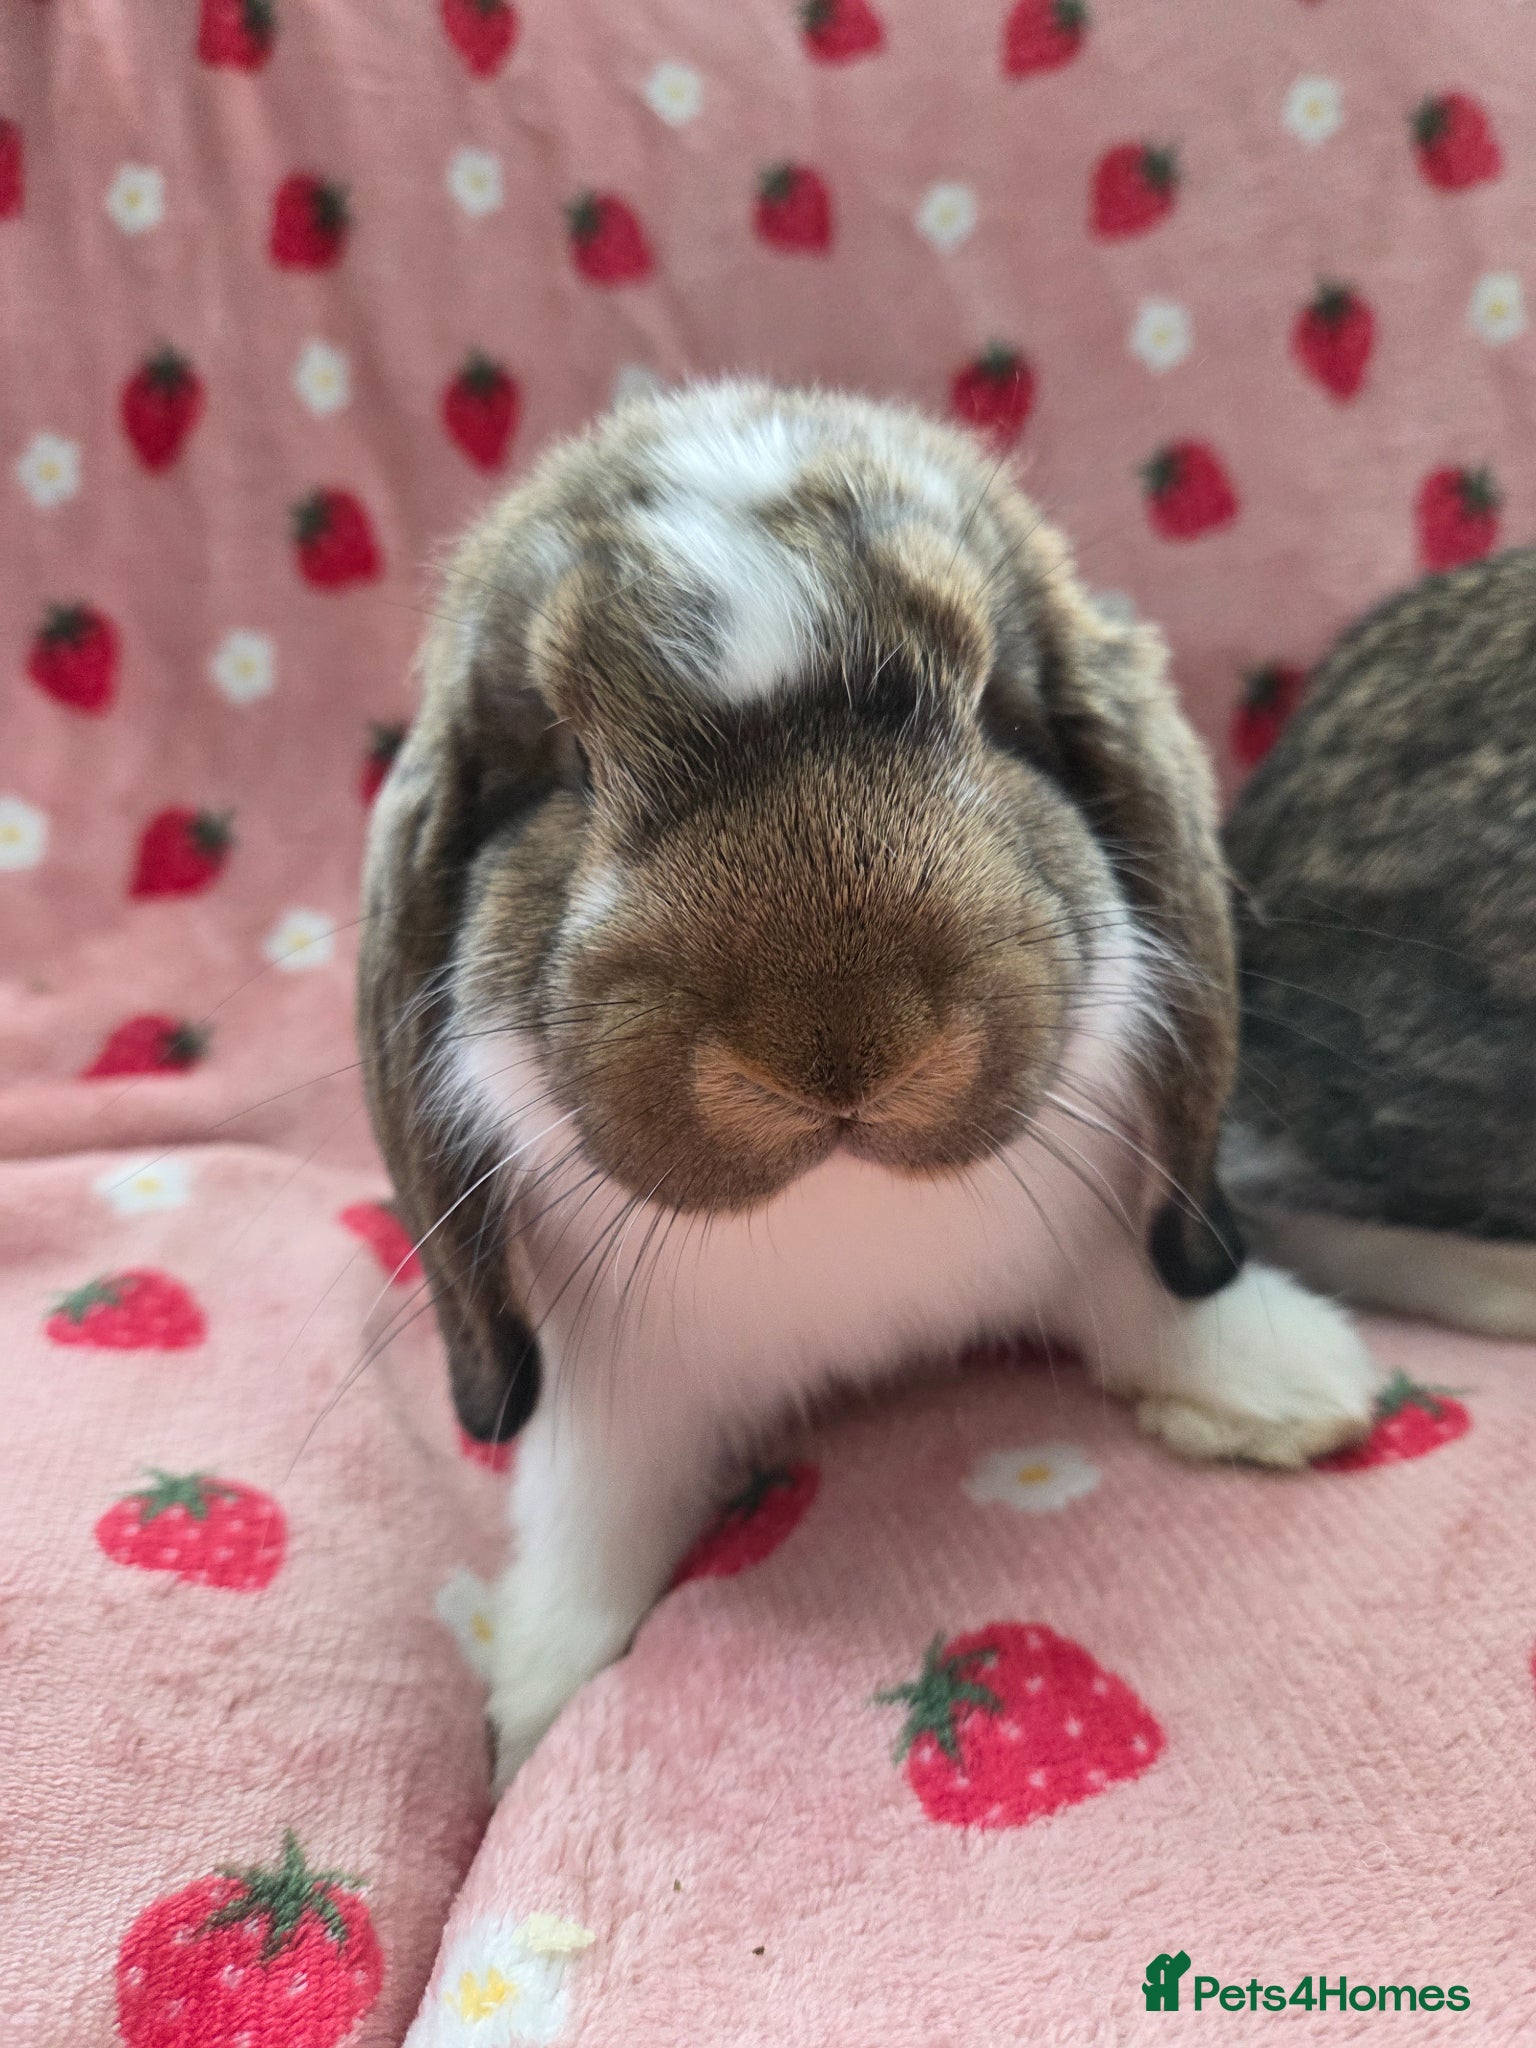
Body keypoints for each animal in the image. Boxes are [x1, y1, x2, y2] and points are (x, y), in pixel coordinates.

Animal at [358, 379, 1377, 1785]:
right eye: (567, 762)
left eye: (996, 708)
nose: (839, 1044)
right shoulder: (606, 1395)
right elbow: (591, 1522)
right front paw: (533, 1713)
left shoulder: (1102, 1206)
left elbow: (1143, 1279)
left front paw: (1289, 1382)